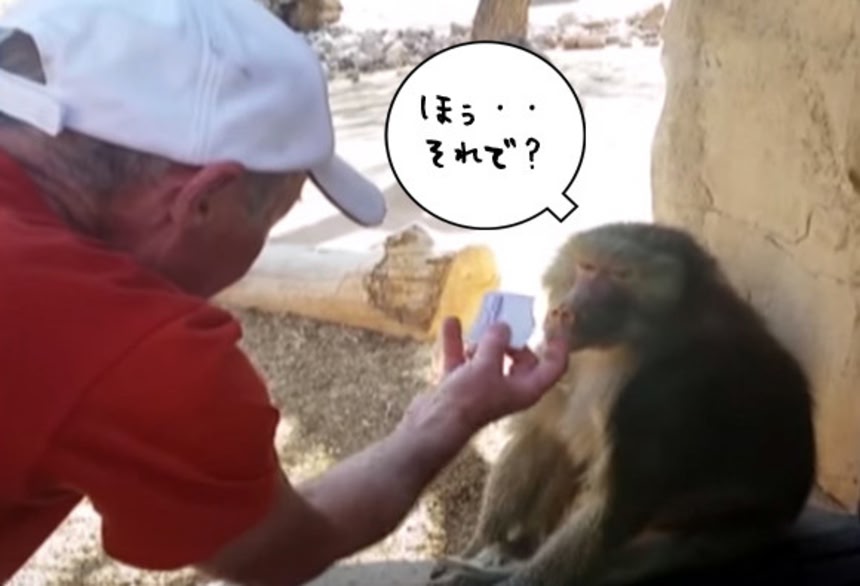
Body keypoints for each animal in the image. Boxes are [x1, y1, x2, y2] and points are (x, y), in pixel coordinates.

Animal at [428, 221, 816, 586]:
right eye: (587, 267)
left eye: (620, 275)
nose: (565, 312)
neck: (624, 342)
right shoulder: (569, 356)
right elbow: (541, 438)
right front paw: (481, 544)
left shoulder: (660, 395)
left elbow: (613, 510)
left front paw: (511, 578)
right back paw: (509, 551)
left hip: (740, 533)